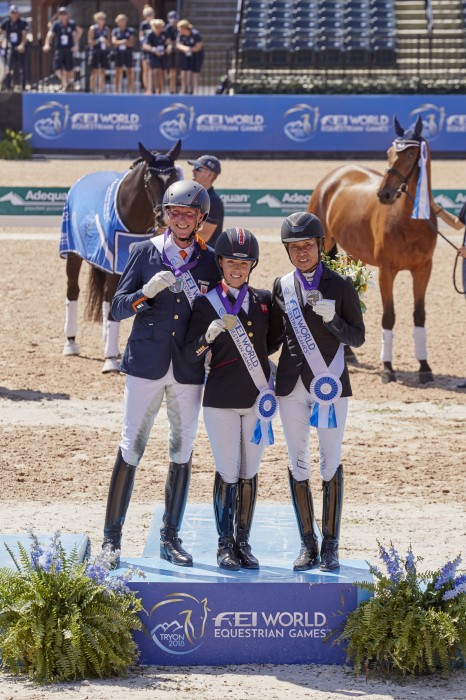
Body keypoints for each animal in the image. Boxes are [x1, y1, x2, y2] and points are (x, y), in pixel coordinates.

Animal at [60, 139, 180, 374]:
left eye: (173, 178)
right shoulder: (115, 266)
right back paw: (71, 343)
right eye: (149, 179)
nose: (164, 217)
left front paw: (113, 352)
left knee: (107, 298)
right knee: (73, 290)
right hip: (73, 254)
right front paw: (110, 361)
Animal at [310, 117, 436, 386]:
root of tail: (336, 174)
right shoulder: (387, 271)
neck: (409, 222)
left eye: (412, 154)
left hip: (352, 256)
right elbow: (389, 317)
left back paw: (347, 350)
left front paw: (424, 367)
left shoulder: (423, 270)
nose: (384, 194)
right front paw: (388, 369)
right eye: (389, 153)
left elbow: (419, 315)